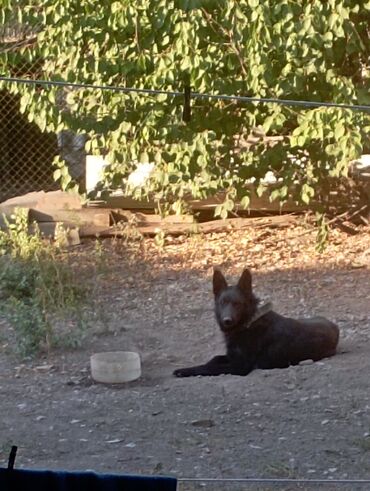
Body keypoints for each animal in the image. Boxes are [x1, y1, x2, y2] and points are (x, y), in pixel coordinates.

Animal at [173, 270, 338, 376]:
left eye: (237, 304)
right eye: (222, 303)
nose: (227, 321)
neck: (248, 323)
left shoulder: (239, 366)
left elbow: (208, 368)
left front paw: (184, 370)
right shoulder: (232, 356)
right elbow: (214, 359)